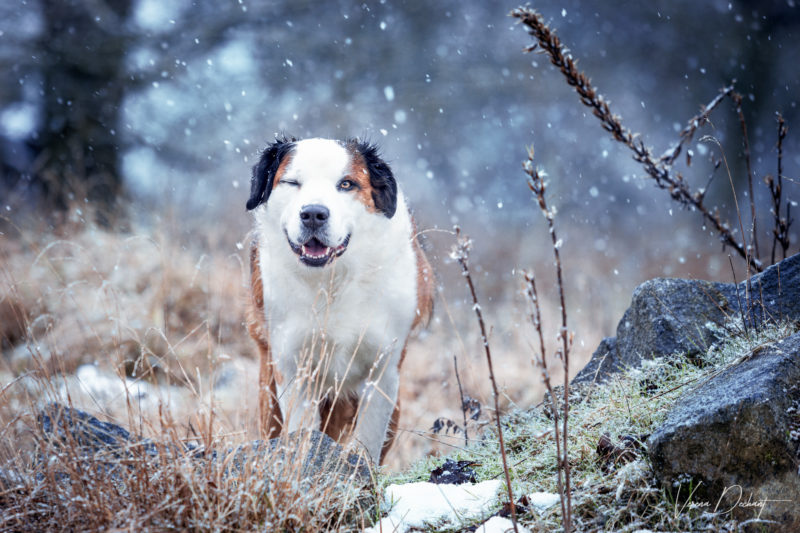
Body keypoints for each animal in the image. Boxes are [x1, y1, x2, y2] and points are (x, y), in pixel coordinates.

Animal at [245, 136, 434, 462]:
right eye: (292, 182)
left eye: (346, 184)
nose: (313, 214)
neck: (334, 279)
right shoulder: (291, 365)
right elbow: (301, 429)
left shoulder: (384, 371)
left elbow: (369, 439)